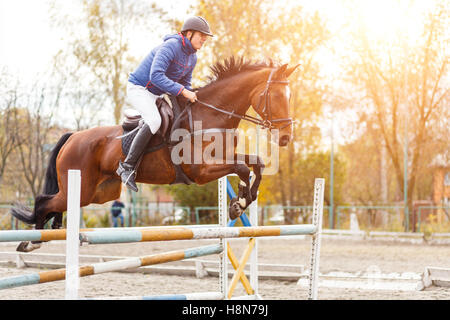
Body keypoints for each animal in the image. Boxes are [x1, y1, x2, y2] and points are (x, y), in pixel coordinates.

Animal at [9, 57, 298, 252]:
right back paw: (30, 242)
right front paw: (239, 202)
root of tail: (73, 136)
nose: (285, 137)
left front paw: (244, 199)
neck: (211, 115)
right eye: (275, 96)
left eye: (289, 95)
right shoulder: (201, 171)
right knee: (43, 201)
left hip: (98, 193)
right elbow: (242, 168)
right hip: (82, 188)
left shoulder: (224, 159)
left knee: (55, 204)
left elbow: (256, 164)